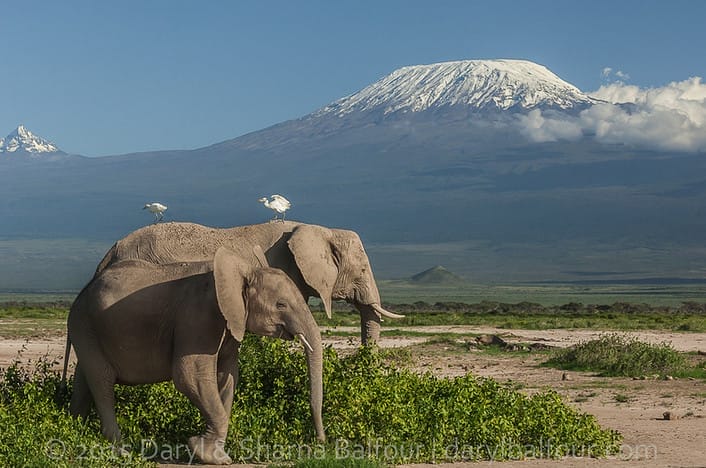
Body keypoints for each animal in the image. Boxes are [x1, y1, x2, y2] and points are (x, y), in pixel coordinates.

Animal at [65, 246, 324, 465]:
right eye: (281, 305)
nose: (320, 442)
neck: (243, 269)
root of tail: (83, 290)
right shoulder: (199, 315)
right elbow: (190, 376)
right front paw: (204, 453)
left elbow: (227, 377)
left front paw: (217, 455)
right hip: (84, 323)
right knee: (102, 381)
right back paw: (121, 451)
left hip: (87, 328)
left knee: (85, 379)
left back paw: (75, 428)